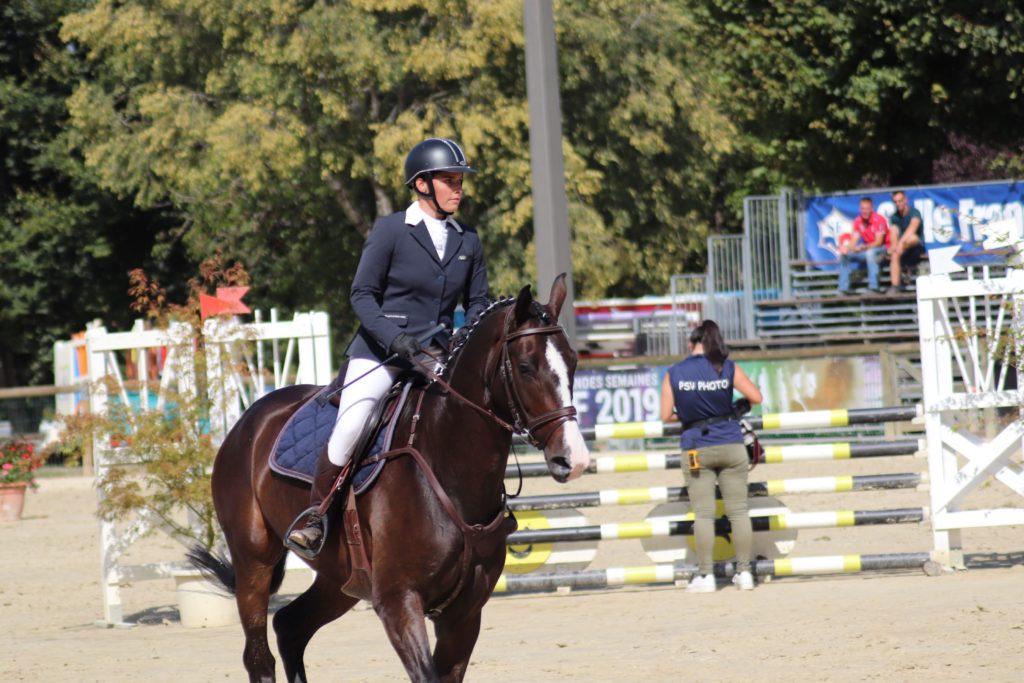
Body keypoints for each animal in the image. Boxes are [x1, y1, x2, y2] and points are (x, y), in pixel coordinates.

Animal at [191, 274, 589, 679]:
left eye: (573, 362)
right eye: (525, 366)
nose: (572, 458)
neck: (449, 469)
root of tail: (250, 419)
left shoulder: (464, 616)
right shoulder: (399, 602)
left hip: (339, 579)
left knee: (290, 626)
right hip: (254, 562)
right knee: (259, 656)